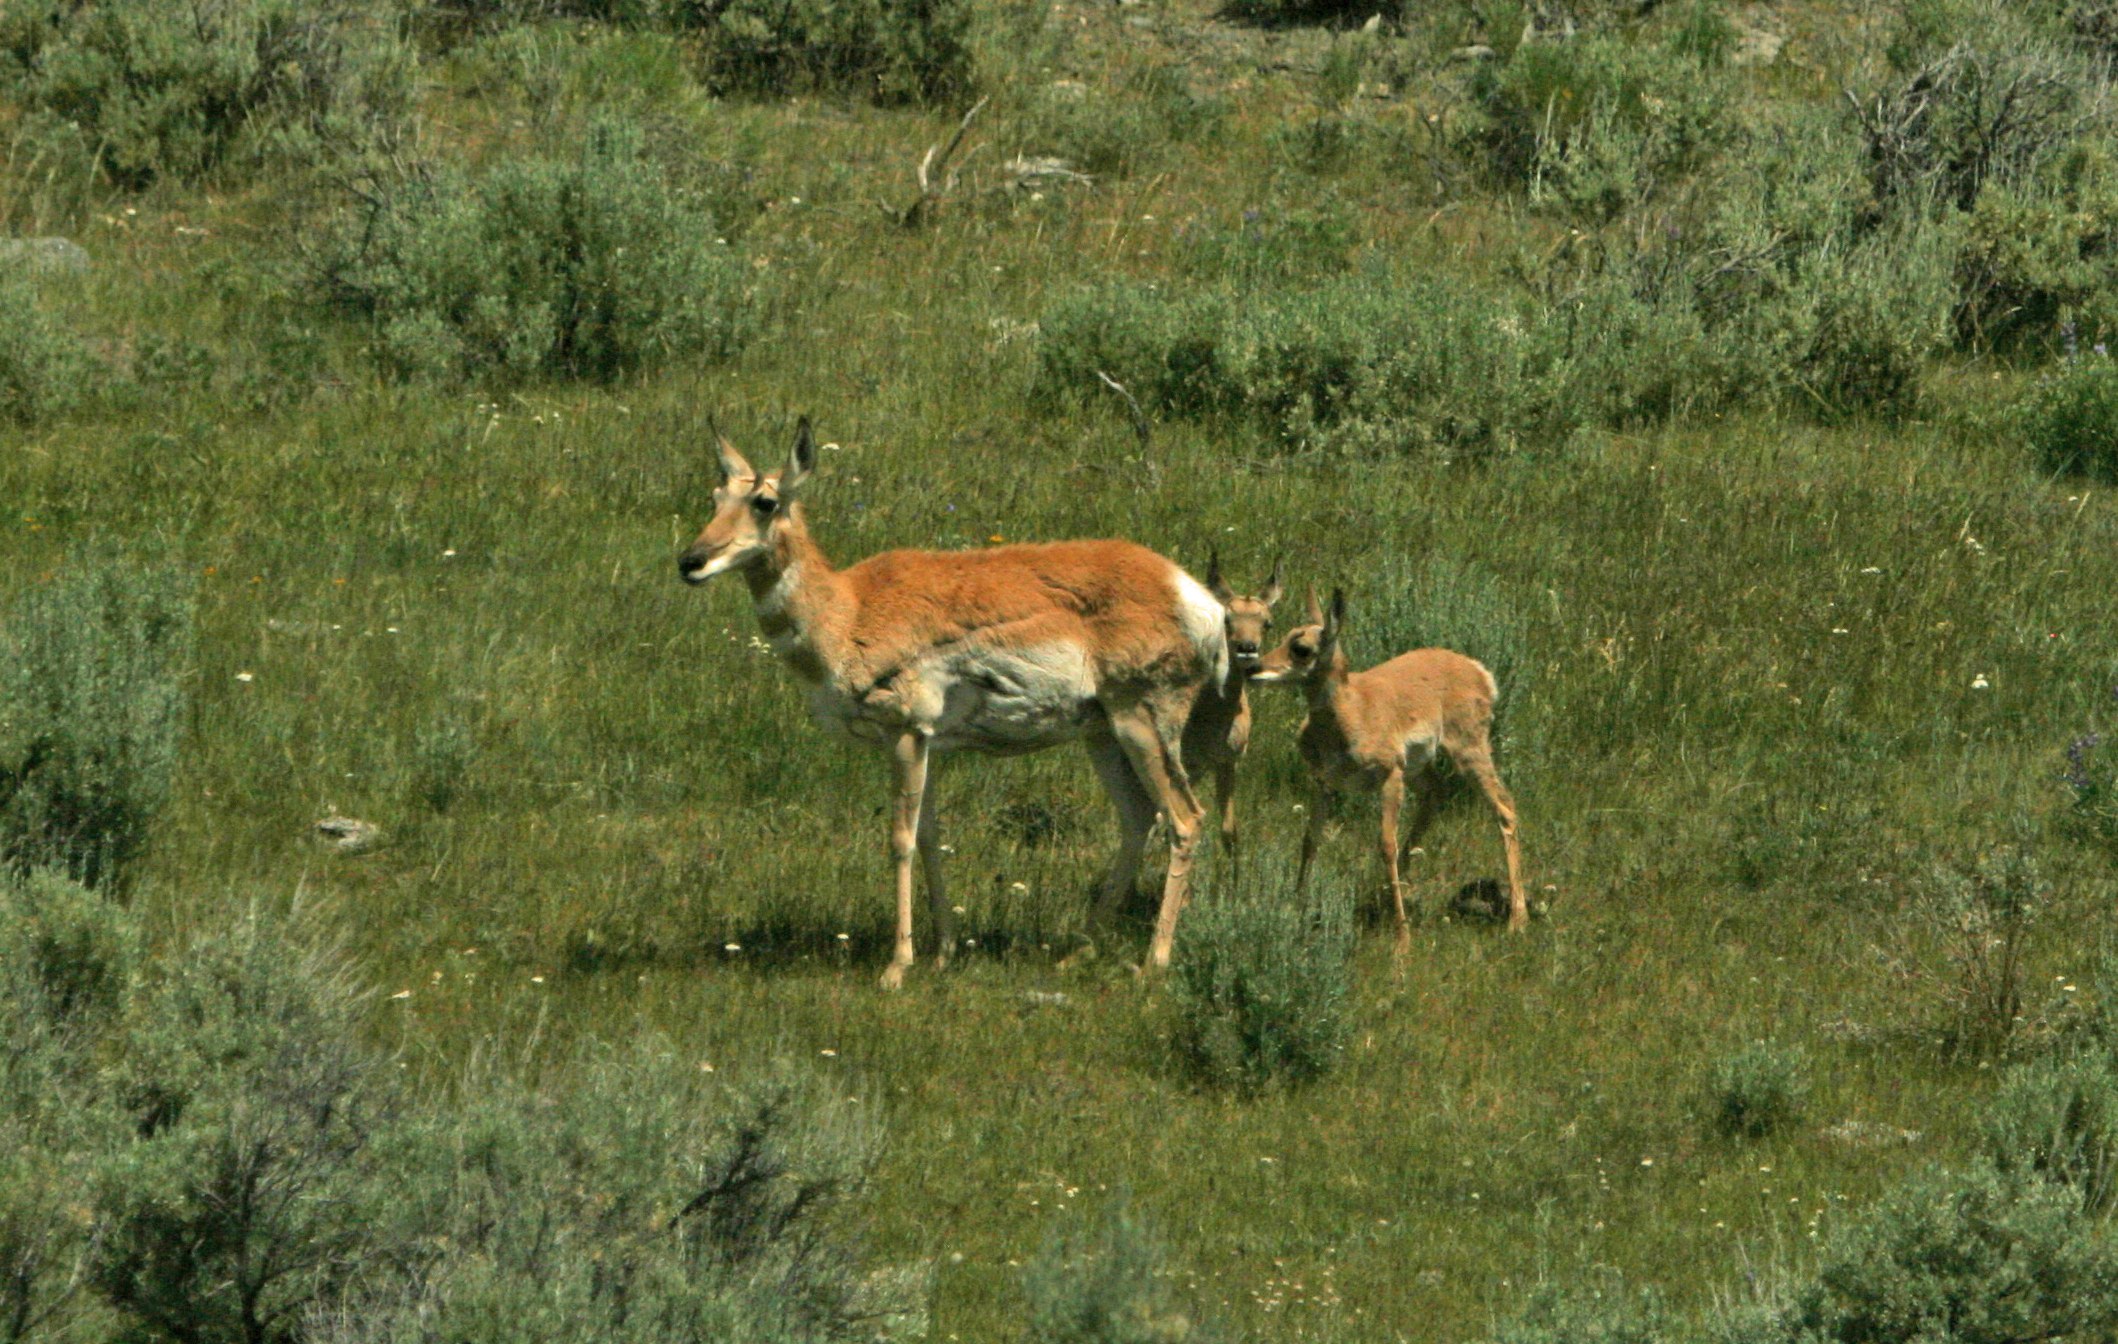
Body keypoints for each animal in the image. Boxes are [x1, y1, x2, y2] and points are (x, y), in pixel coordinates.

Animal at [677, 421, 1236, 990]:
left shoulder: (904, 732)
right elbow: (929, 837)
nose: (690, 562)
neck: (847, 610)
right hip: (1102, 734)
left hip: (1142, 721)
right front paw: (943, 952)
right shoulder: (929, 743)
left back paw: (1153, 962)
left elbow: (900, 839)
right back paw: (1076, 952)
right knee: (1138, 818)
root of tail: (1194, 596)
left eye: (765, 502)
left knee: (1185, 819)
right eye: (717, 496)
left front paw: (897, 967)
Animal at [1236, 588, 1524, 948]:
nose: (1253, 668)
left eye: (1301, 648)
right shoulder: (1325, 783)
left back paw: (1517, 919)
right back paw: (1385, 892)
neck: (1351, 711)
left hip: (1468, 752)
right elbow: (1310, 839)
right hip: (1421, 768)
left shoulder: (1390, 776)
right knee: (1436, 794)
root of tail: (1475, 669)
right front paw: (1297, 905)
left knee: (1504, 806)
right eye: (1283, 633)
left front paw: (1402, 938)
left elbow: (1386, 844)